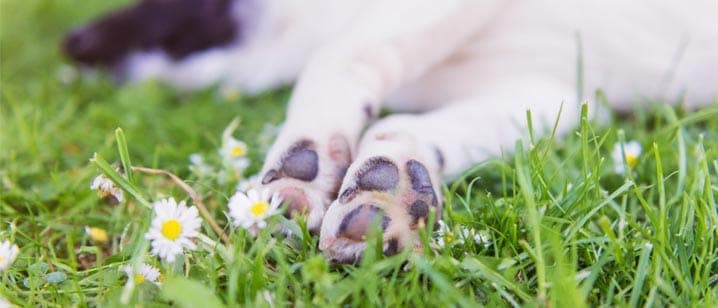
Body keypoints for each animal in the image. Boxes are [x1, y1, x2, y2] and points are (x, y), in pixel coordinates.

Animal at [63, 0, 718, 262]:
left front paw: (302, 166)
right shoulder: (550, 95)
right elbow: (408, 123)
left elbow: (340, 51)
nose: (73, 43)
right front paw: (393, 187)